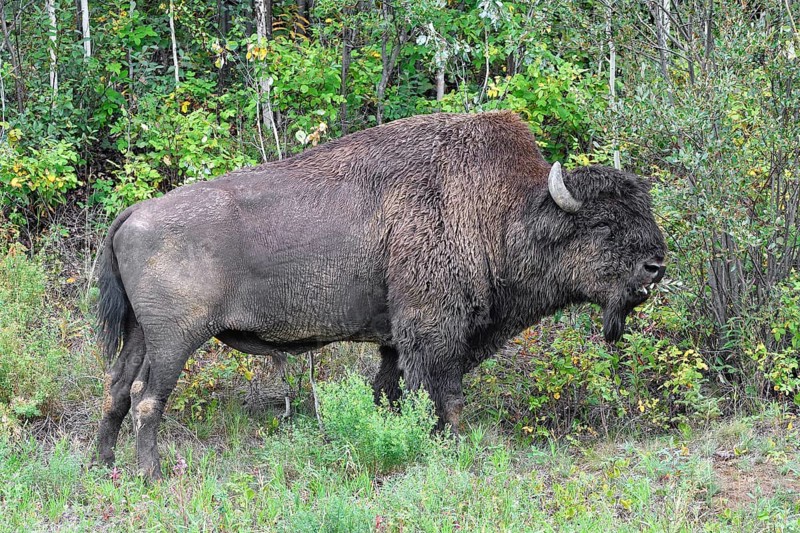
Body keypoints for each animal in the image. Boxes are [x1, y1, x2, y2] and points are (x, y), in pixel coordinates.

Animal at [96, 111, 666, 479]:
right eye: (604, 225)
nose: (657, 266)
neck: (504, 214)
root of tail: (133, 214)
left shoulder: (397, 342)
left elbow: (389, 391)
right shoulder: (433, 334)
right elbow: (442, 396)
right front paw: (449, 449)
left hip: (141, 336)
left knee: (119, 389)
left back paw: (105, 463)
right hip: (175, 341)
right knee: (147, 398)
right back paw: (152, 474)